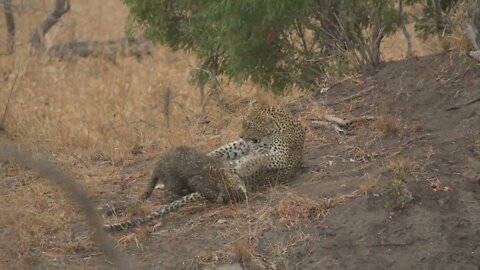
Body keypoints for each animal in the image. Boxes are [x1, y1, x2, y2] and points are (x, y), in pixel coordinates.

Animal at [105, 146, 248, 232]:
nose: (242, 196)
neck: (223, 175)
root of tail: (156, 167)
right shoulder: (197, 180)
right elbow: (208, 191)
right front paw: (218, 197)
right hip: (174, 180)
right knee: (168, 195)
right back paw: (179, 196)